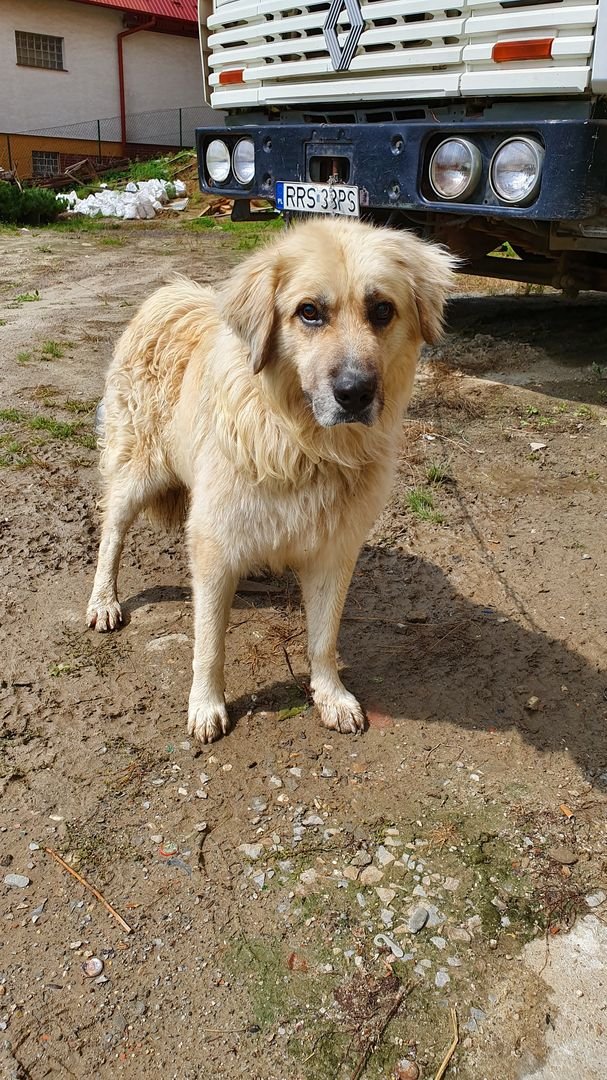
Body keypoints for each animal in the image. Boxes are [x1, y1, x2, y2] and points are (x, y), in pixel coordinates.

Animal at [87, 217, 455, 742]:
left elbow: (323, 638)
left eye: (382, 309)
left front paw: (330, 695)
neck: (305, 444)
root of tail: (169, 292)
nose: (355, 393)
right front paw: (205, 705)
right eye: (309, 312)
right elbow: (209, 643)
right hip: (137, 470)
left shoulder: (334, 550)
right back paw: (104, 600)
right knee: (111, 534)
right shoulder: (213, 545)